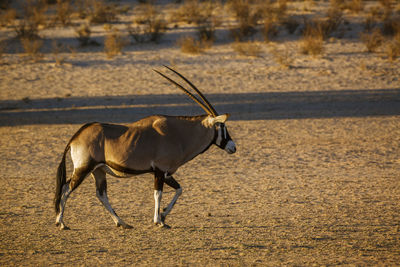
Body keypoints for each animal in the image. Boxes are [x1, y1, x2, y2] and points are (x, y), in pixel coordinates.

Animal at [52, 66, 234, 229]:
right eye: (222, 126)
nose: (233, 147)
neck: (178, 133)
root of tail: (75, 137)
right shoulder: (160, 171)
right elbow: (158, 194)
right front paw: (159, 221)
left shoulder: (166, 173)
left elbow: (179, 190)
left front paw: (163, 215)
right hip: (84, 168)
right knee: (66, 188)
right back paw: (61, 223)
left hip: (99, 171)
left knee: (101, 194)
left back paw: (122, 223)